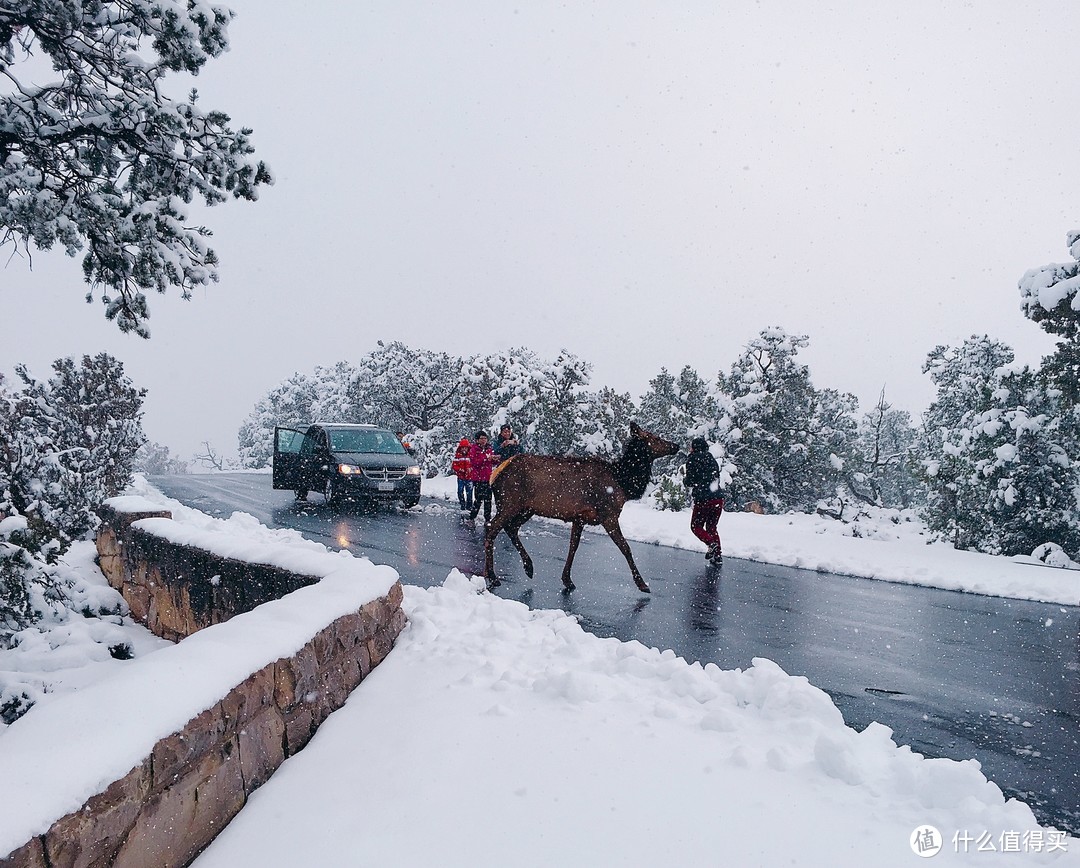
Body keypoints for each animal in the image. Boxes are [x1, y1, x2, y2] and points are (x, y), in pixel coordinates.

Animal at [488, 423, 678, 591]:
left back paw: (528, 567)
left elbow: (573, 546)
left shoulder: (579, 517)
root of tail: (495, 473)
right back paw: (492, 576)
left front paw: (567, 580)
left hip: (526, 509)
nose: (676, 445)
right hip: (510, 503)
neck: (623, 483)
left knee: (511, 528)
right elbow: (625, 547)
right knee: (492, 527)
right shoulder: (608, 515)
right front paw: (642, 584)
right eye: (655, 437)